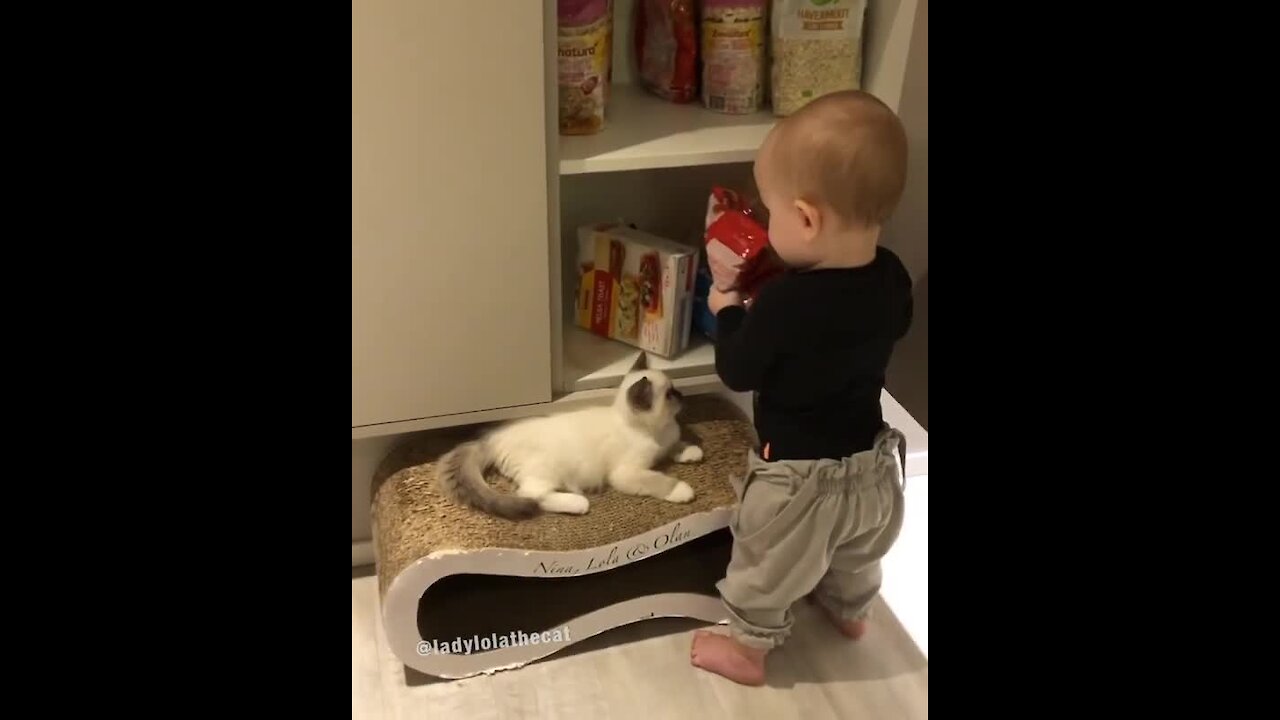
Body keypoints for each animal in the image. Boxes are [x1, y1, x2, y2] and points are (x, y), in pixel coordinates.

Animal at [437, 368, 701, 515]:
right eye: (669, 394)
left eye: (675, 389)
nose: (682, 395)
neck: (656, 431)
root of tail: (492, 436)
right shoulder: (627, 472)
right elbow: (659, 480)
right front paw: (682, 490)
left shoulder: (667, 445)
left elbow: (678, 446)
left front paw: (693, 452)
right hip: (547, 470)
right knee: (532, 495)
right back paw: (578, 504)